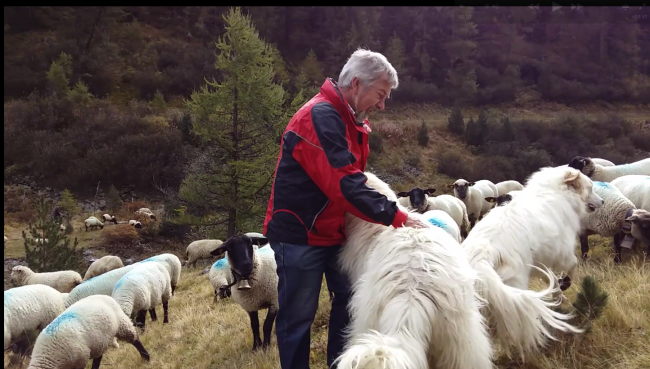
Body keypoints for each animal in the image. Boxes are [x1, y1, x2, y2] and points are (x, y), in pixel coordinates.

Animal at [460, 165, 604, 358]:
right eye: (590, 187)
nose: (603, 201)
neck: (555, 191)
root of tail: (483, 252)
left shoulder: (539, 263)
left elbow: (552, 280)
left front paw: (558, 294)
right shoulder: (562, 252)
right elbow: (572, 266)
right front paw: (564, 284)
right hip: (513, 289)